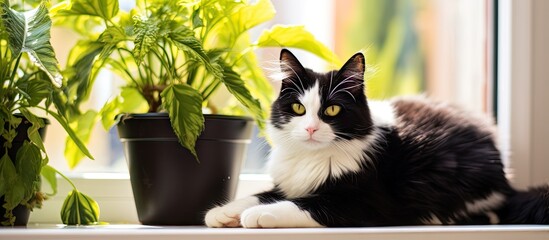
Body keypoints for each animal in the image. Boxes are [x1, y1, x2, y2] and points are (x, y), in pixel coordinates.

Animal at [204, 48, 548, 227]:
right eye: (299, 108)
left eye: (331, 110)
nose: (311, 129)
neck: (311, 158)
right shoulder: (289, 182)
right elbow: (263, 193)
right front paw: (222, 212)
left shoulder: (366, 204)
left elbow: (302, 204)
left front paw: (256, 215)